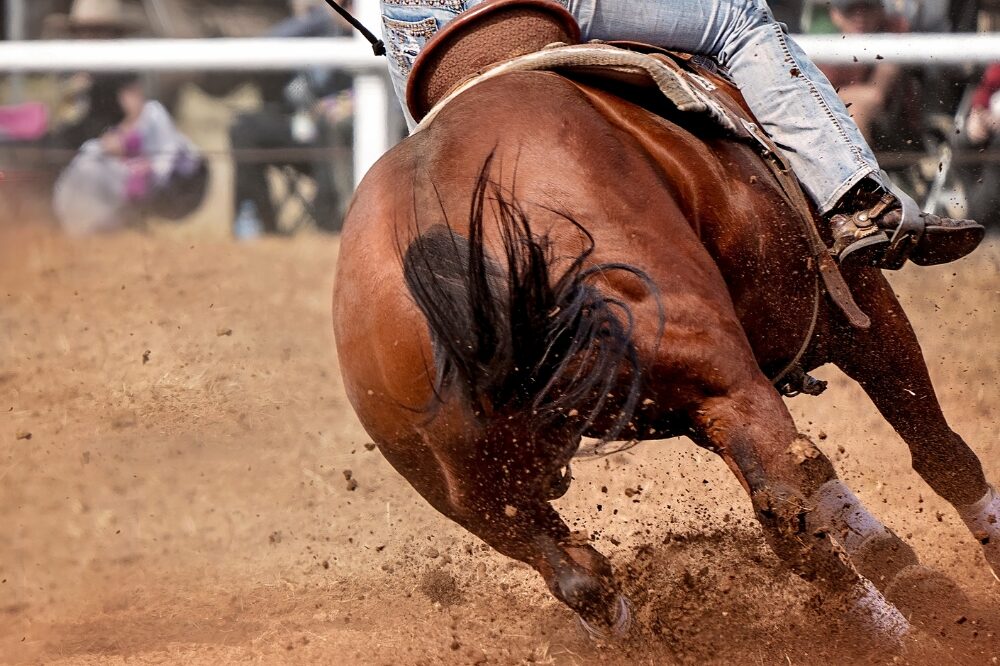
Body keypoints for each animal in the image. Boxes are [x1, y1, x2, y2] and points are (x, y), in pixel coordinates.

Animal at [331, 6, 998, 643]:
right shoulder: (854, 307)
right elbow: (938, 450)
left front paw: (911, 574)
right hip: (723, 376)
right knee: (787, 503)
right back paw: (907, 638)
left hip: (482, 492)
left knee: (582, 578)